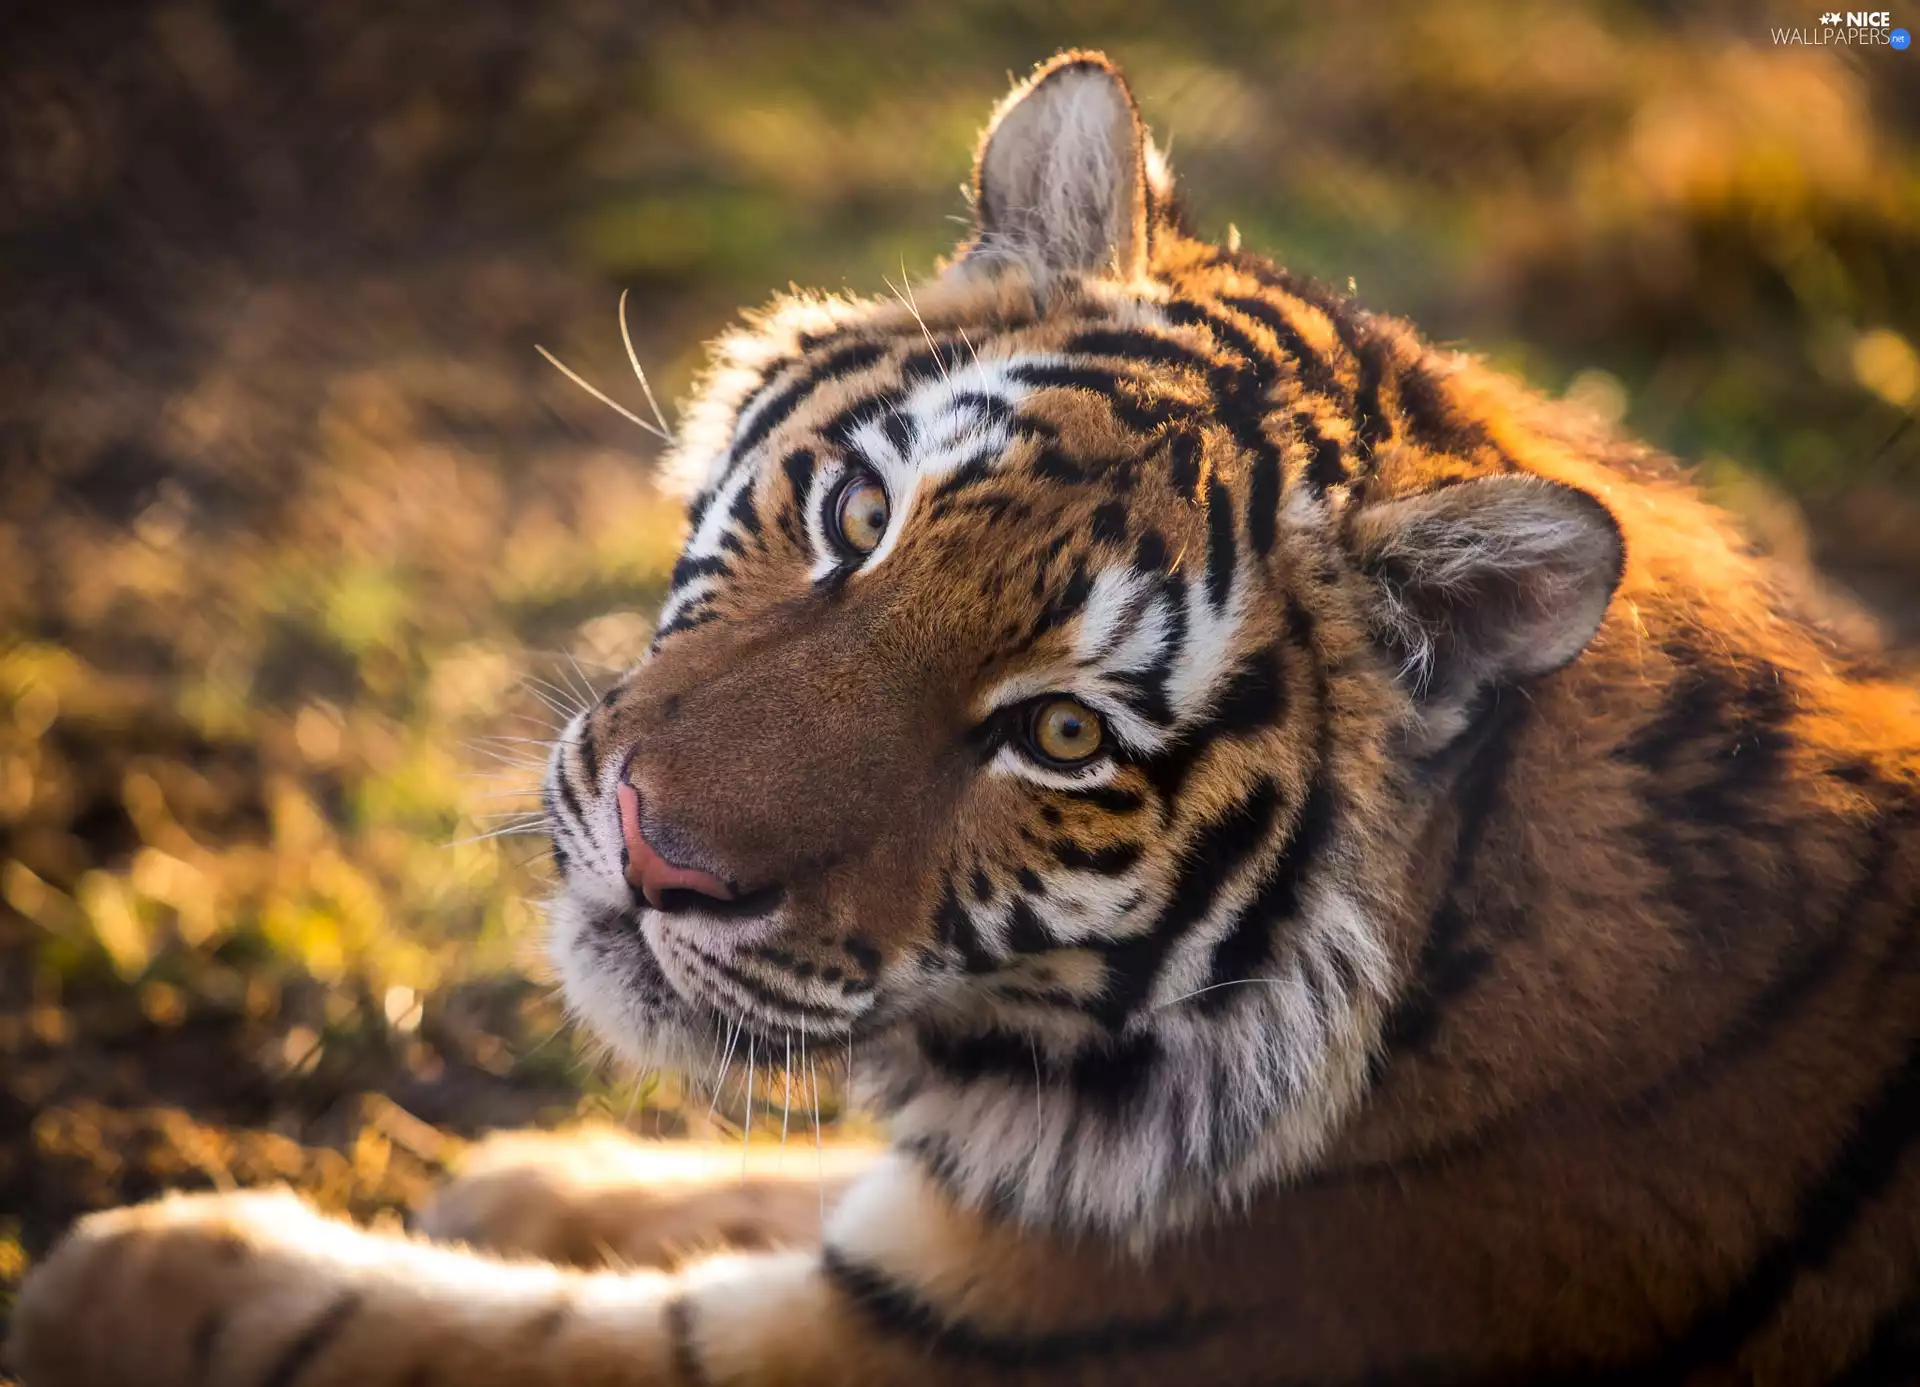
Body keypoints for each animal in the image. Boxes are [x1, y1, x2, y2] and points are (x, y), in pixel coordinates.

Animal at [13, 48, 1920, 1387]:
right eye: (861, 513)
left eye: (1064, 738)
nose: (651, 852)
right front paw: (524, 1182)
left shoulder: (961, 1335)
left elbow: (434, 1335)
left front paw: (134, 1264)